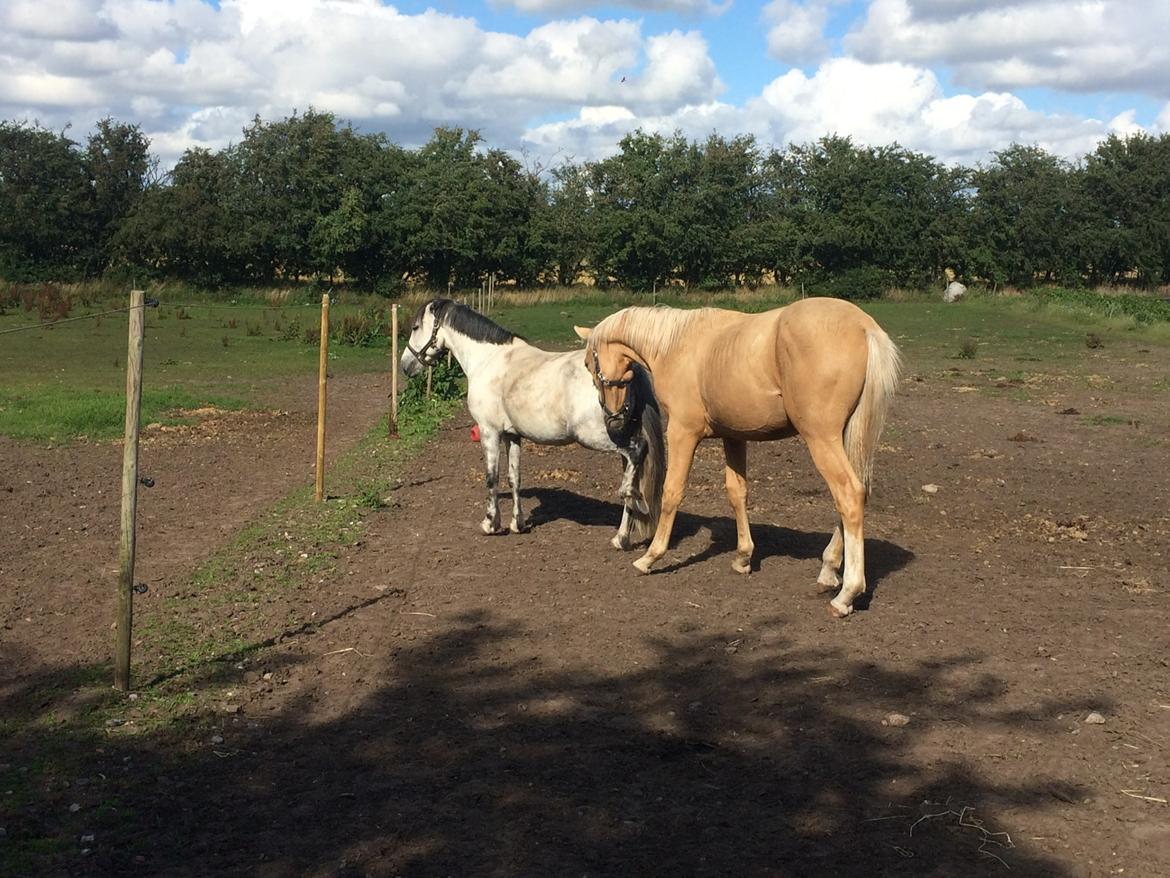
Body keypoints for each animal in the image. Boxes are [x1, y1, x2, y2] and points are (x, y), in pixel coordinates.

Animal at [402, 302, 664, 550]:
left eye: (415, 327)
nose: (406, 365)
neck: (489, 359)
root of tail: (628, 370)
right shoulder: (512, 435)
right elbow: (514, 478)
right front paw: (517, 524)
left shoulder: (489, 432)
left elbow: (492, 477)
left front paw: (490, 524)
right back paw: (621, 537)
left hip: (600, 436)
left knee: (637, 451)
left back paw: (626, 497)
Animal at [580, 299, 898, 613]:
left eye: (588, 364)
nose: (613, 421)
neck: (676, 345)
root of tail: (863, 326)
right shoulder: (733, 436)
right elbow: (737, 492)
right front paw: (743, 557)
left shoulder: (683, 432)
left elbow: (672, 492)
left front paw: (650, 557)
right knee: (852, 497)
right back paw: (828, 571)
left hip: (821, 439)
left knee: (849, 495)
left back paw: (846, 594)